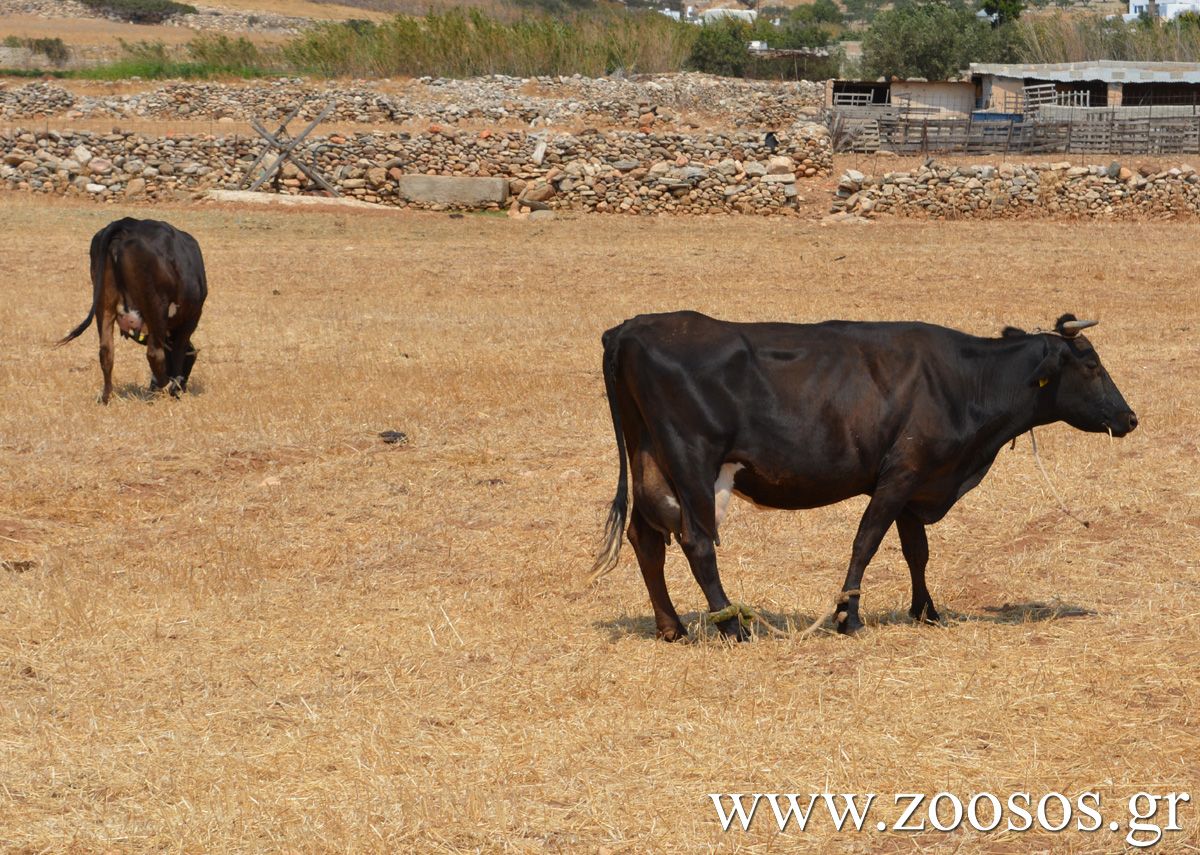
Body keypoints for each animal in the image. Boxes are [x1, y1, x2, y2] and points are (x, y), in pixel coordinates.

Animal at [57, 220, 206, 408]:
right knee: (154, 353)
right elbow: (178, 353)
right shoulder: (190, 319)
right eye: (191, 362)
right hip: (156, 307)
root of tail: (127, 224)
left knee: (106, 351)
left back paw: (106, 397)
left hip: (103, 303)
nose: (184, 388)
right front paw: (174, 389)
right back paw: (163, 386)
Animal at [588, 312, 1132, 643]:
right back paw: (733, 626)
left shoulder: (917, 484)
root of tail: (631, 329)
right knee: (697, 541)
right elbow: (866, 542)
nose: (1130, 418)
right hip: (692, 464)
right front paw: (848, 617)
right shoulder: (901, 473)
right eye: (1091, 364)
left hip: (649, 458)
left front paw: (926, 611)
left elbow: (916, 551)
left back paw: (671, 626)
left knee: (646, 537)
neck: (961, 381)